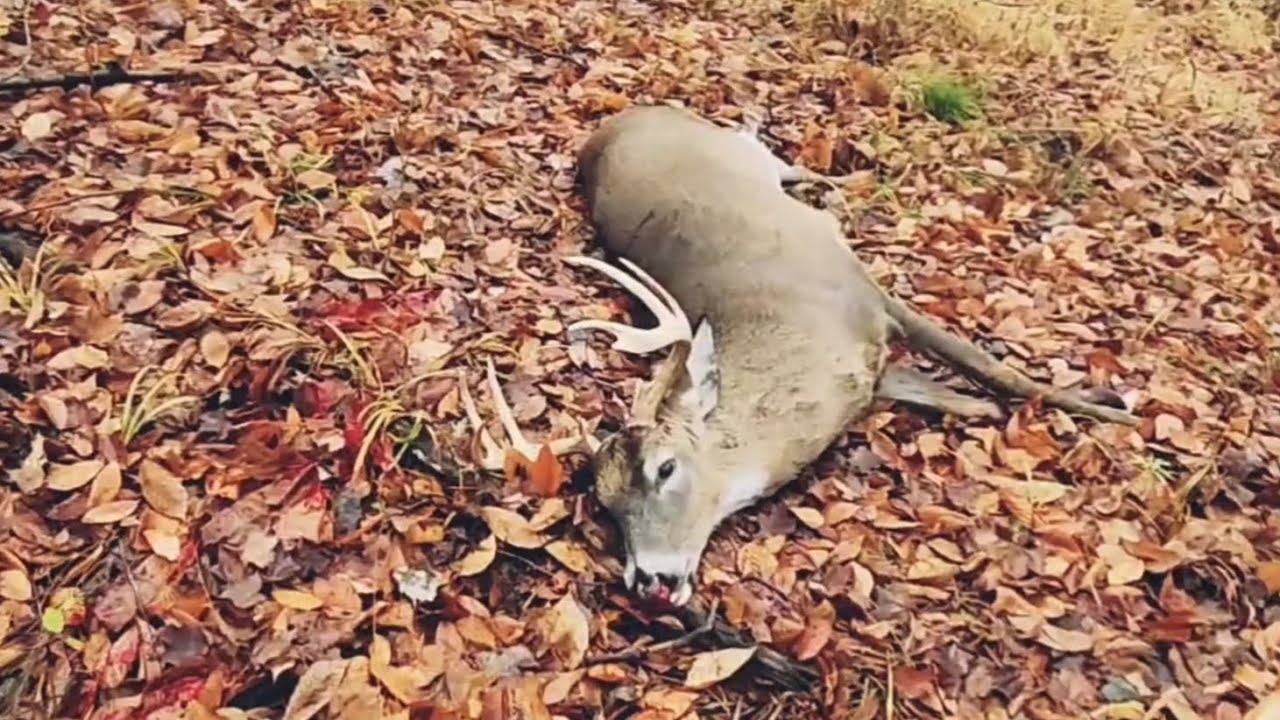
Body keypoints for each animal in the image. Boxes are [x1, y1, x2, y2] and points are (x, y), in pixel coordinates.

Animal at [465, 104, 1138, 608]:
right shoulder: (873, 370)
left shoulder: (870, 296)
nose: (652, 580)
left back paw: (840, 183)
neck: (799, 337)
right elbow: (963, 399)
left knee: (770, 151)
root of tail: (621, 119)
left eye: (665, 467)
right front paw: (999, 412)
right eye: (605, 504)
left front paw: (1116, 410)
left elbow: (993, 367)